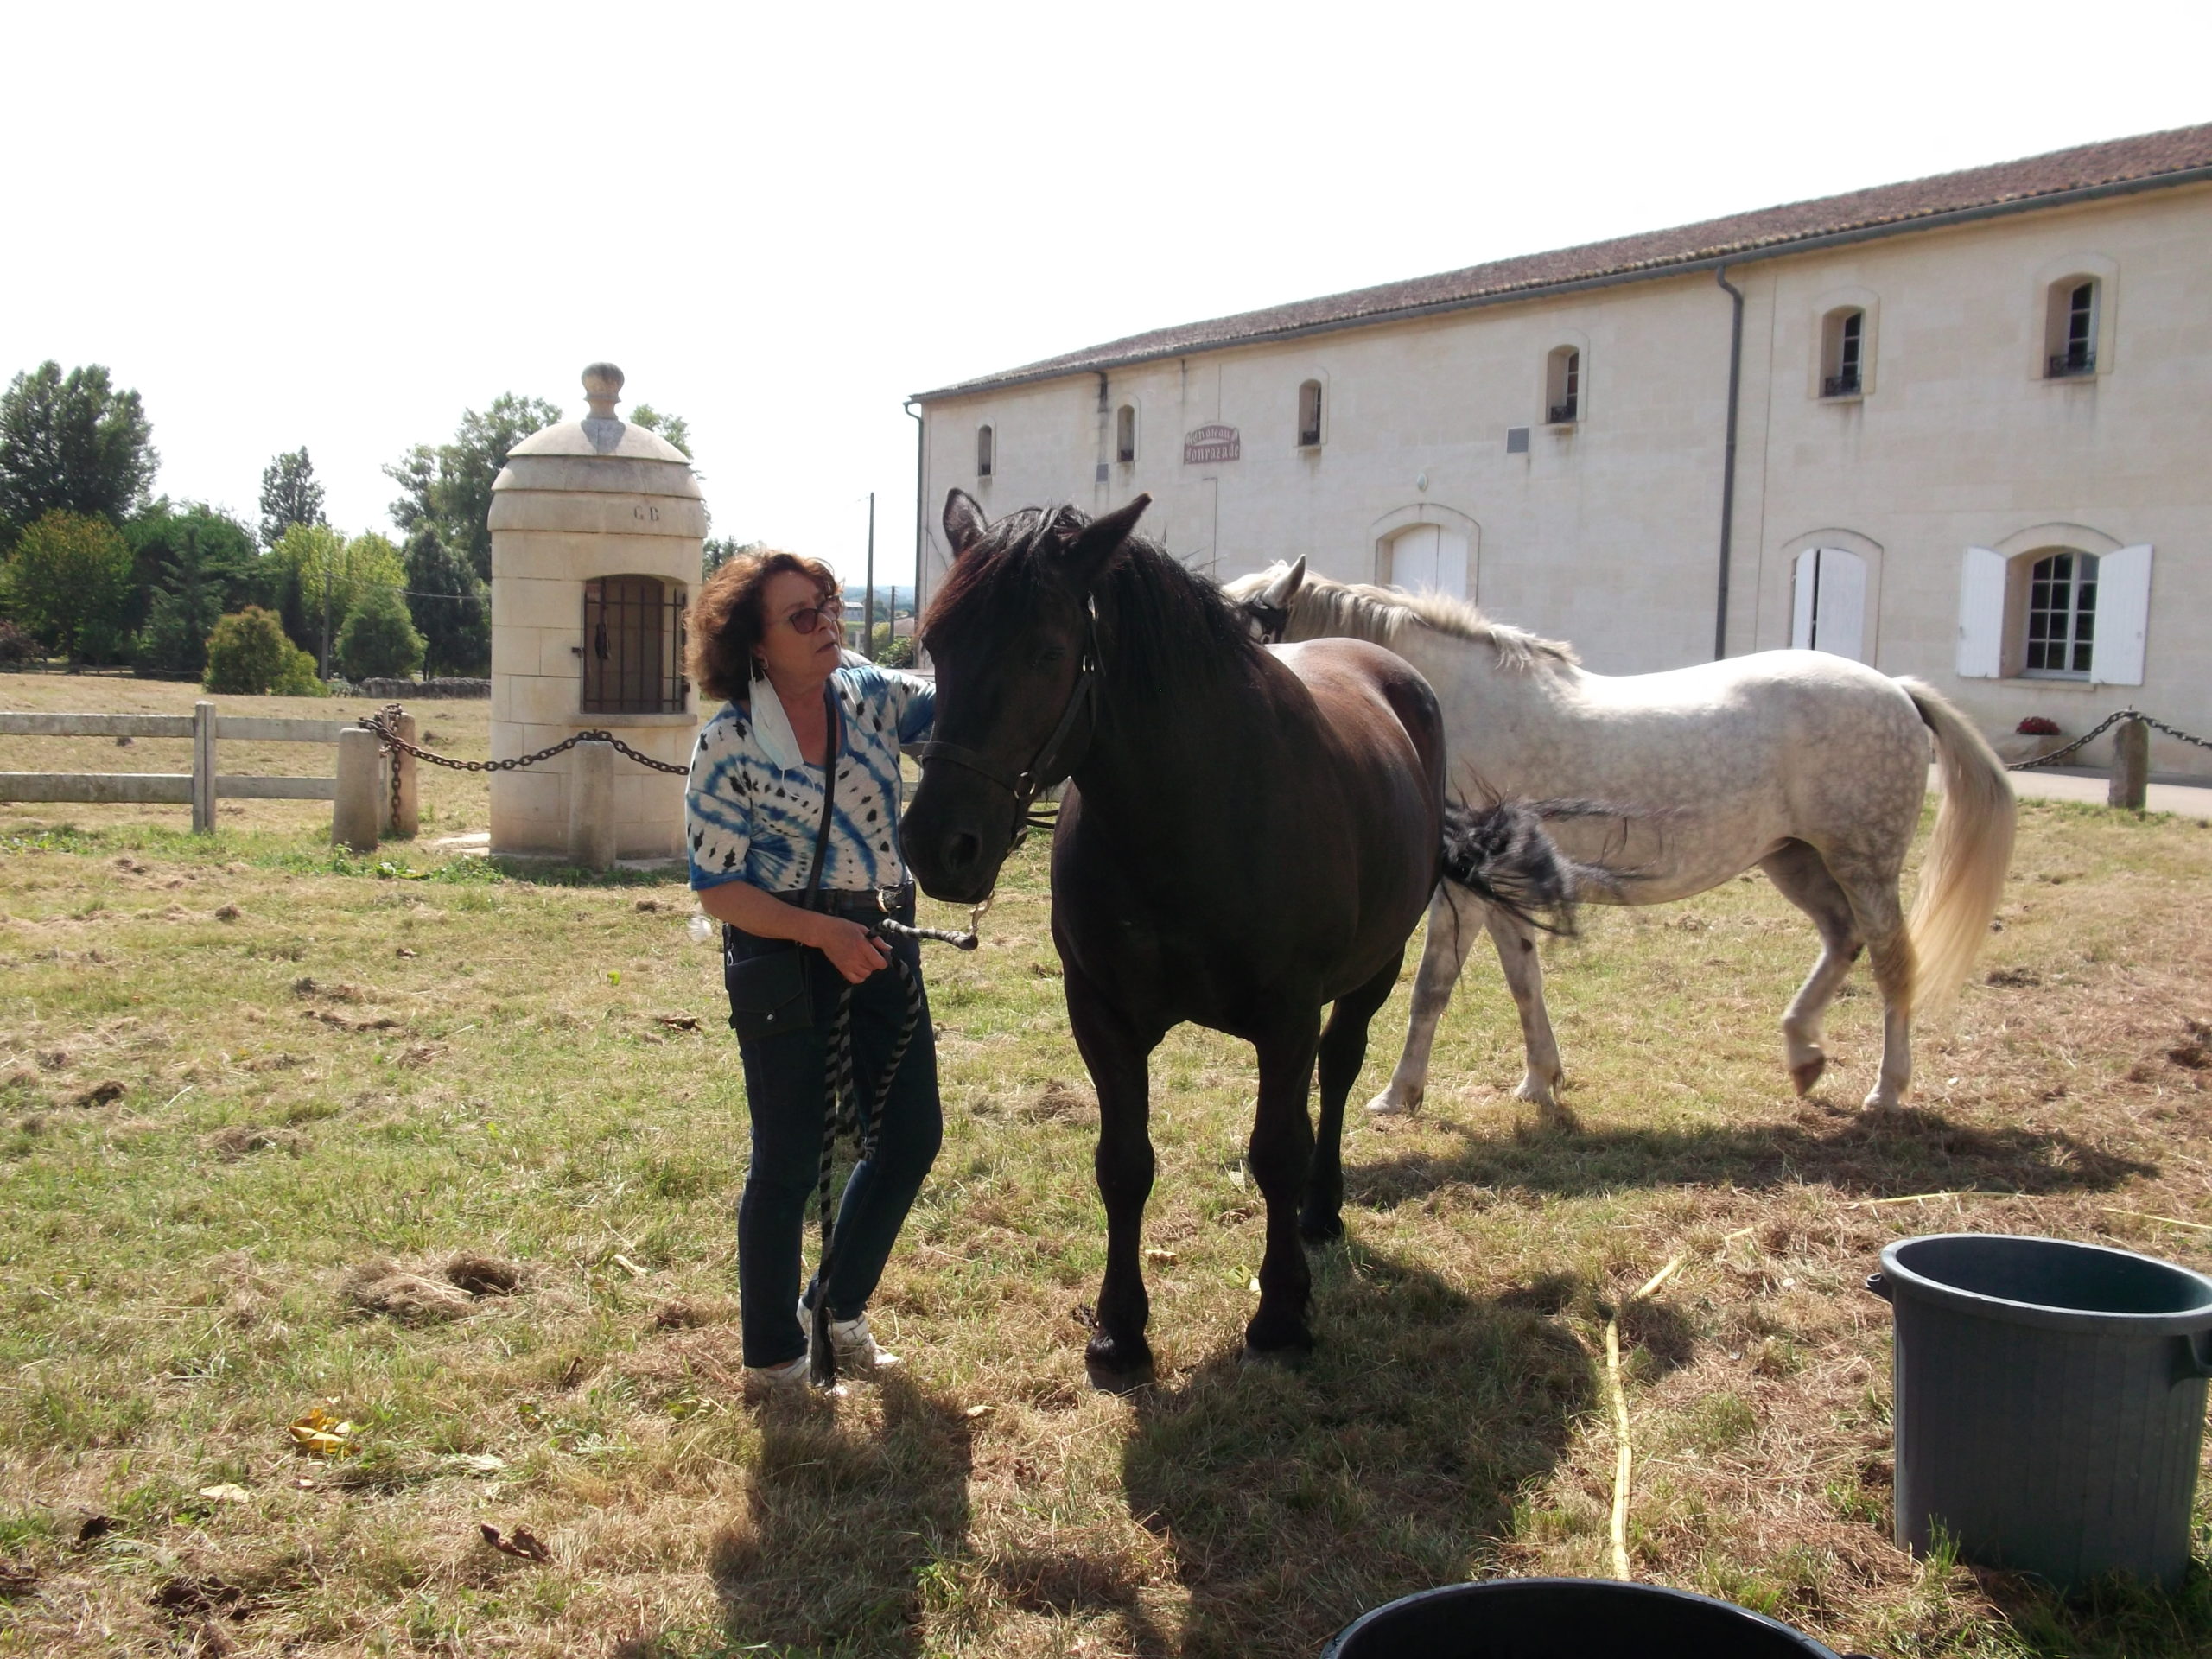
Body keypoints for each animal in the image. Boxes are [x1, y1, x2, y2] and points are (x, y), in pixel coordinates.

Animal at [898, 498, 1574, 1389]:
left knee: (1339, 1070)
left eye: (1046, 649)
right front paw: (1119, 1332)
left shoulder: (1287, 1018)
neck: (1188, 814)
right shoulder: (1102, 1017)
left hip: (1374, 972)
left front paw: (1280, 1314)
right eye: (937, 645)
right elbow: (1124, 1163)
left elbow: (1278, 1149)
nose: (939, 845)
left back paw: (1321, 1210)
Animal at [1230, 562, 2025, 1119]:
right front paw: (1540, 1081)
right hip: (1795, 860)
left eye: (1250, 639)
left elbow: (1432, 989)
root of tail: (1897, 691)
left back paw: (1887, 1091)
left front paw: (1400, 1095)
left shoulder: (1460, 893)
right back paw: (1803, 1052)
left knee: (1892, 963)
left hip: (1863, 864)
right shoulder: (1500, 890)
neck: (1442, 705)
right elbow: (1523, 978)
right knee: (1842, 941)